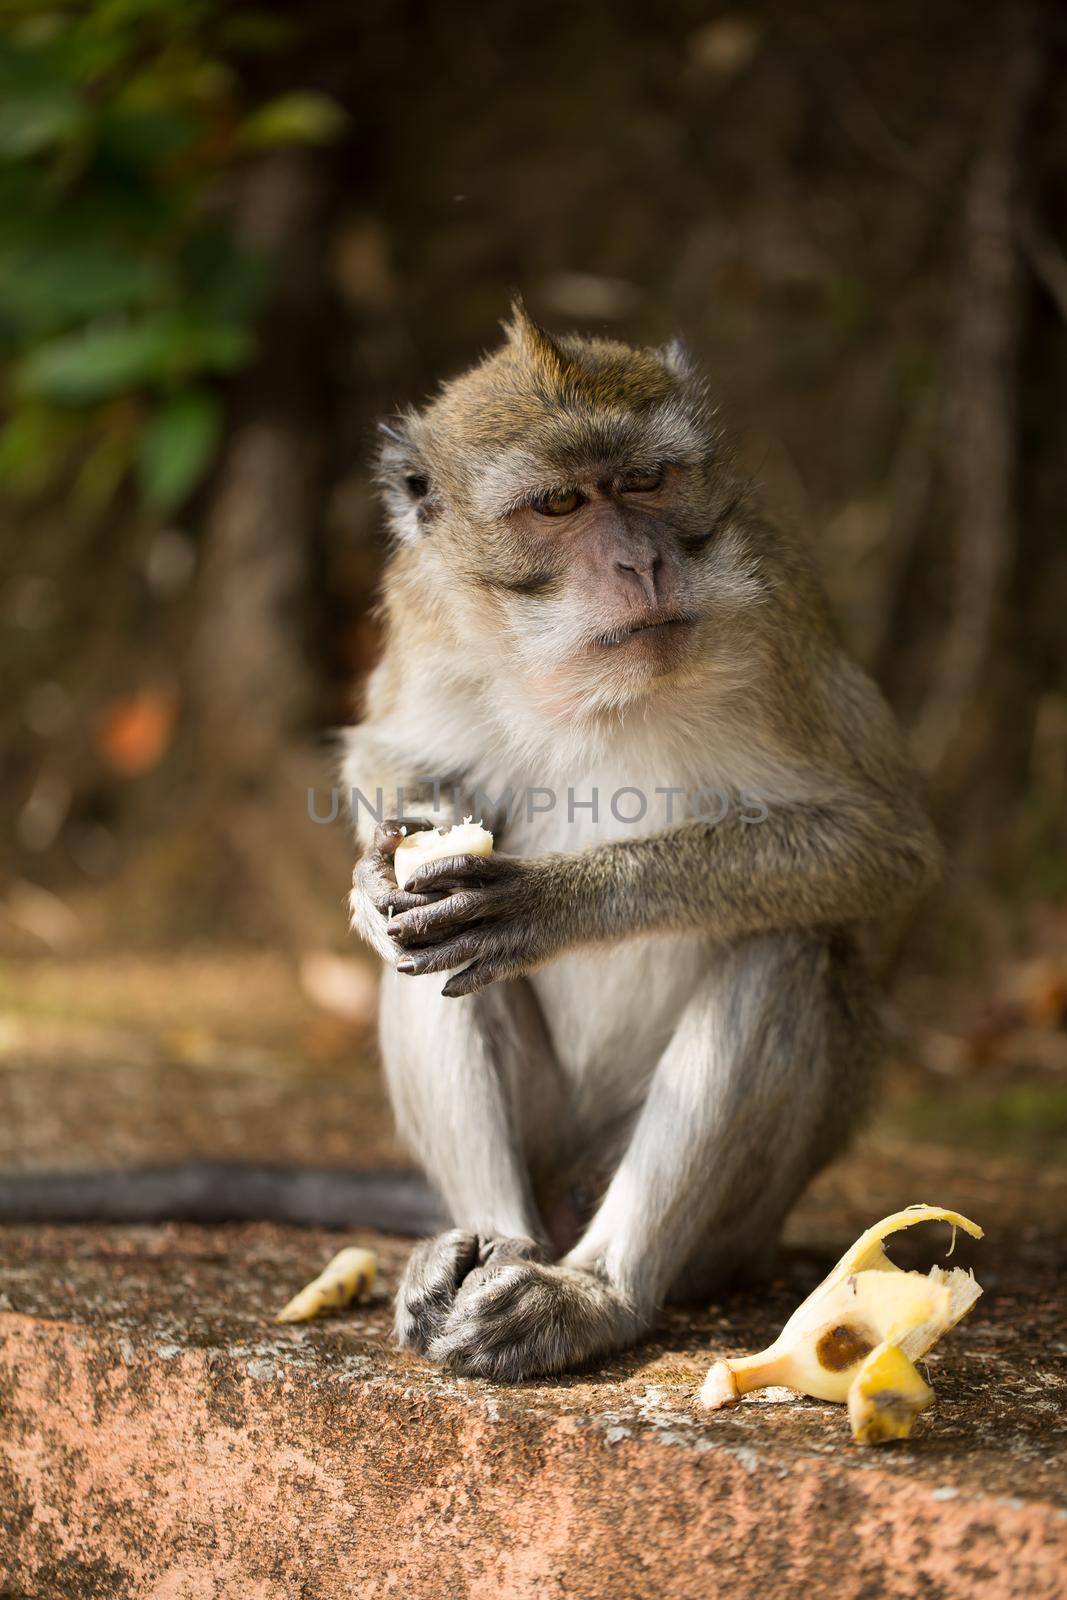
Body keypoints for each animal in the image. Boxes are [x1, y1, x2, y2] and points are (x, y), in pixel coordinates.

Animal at [343, 305, 940, 1382]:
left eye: (648, 481)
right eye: (559, 503)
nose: (641, 563)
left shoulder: (777, 617)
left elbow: (880, 845)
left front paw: (560, 901)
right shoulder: (424, 610)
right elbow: (388, 757)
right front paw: (373, 888)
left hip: (736, 1222)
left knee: (781, 950)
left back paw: (595, 1292)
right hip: (548, 1150)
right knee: (422, 962)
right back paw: (487, 1247)